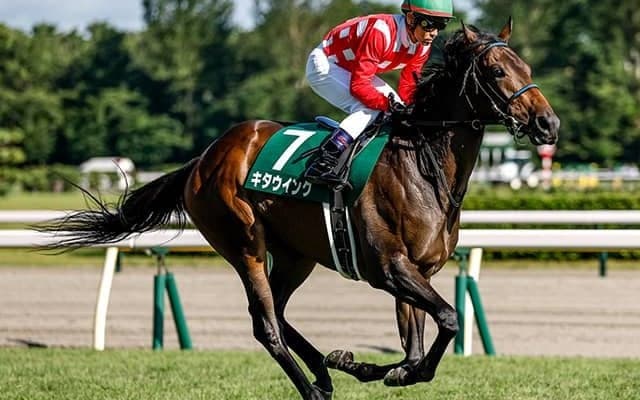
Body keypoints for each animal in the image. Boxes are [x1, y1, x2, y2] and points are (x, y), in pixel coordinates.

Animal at [43, 20, 559, 400]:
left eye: (526, 64)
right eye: (496, 72)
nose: (547, 123)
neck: (421, 163)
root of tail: (205, 157)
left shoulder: (418, 271)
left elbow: (416, 355)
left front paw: (365, 365)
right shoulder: (390, 268)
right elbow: (448, 320)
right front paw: (374, 368)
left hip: (296, 256)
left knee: (280, 311)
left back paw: (327, 372)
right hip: (244, 242)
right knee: (266, 324)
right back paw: (313, 387)